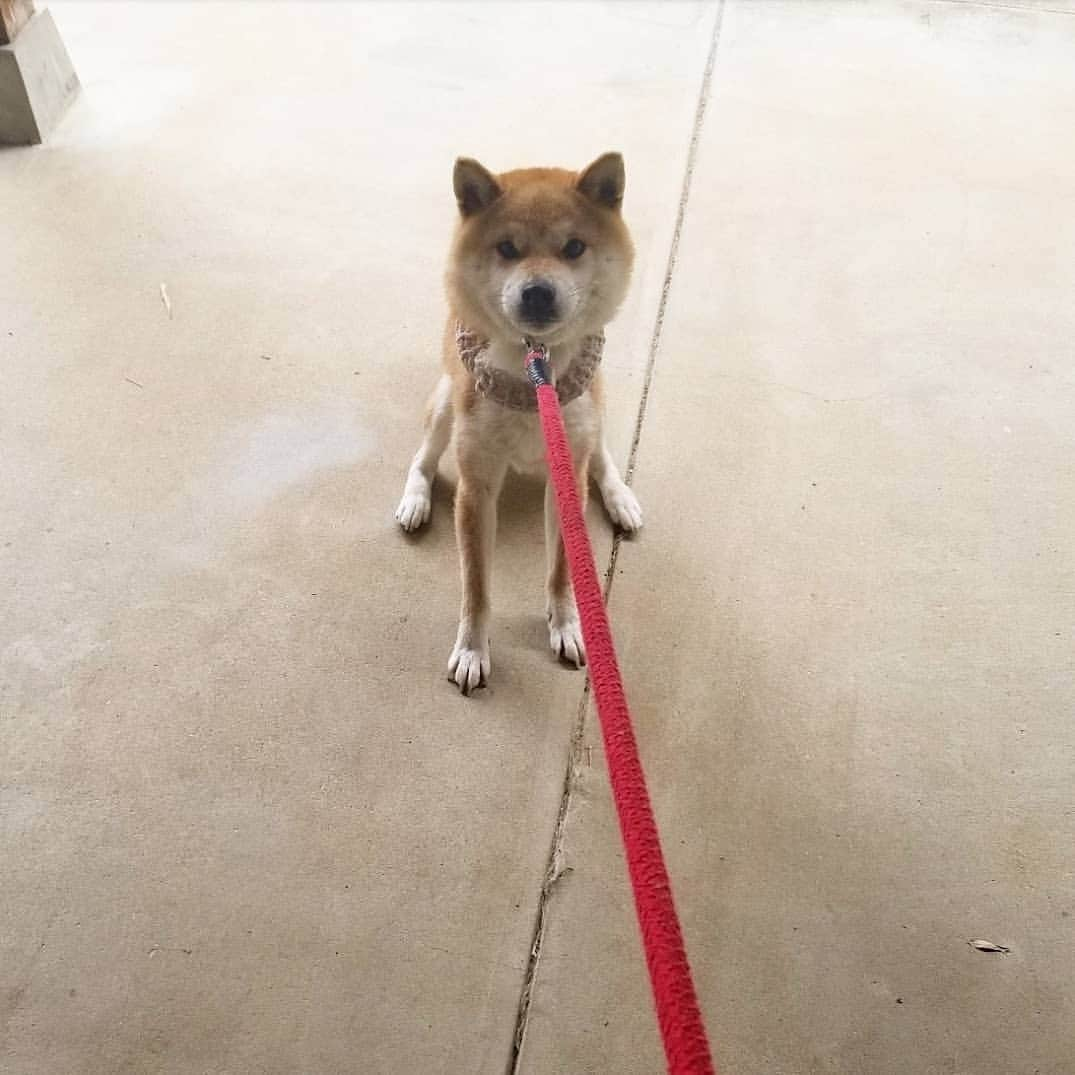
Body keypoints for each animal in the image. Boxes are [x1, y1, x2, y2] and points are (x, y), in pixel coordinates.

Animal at [399, 153, 640, 696]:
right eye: (507, 248)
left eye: (574, 247)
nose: (538, 293)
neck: (535, 373)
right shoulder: (477, 486)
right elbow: (476, 585)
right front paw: (472, 650)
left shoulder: (567, 477)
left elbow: (561, 570)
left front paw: (567, 625)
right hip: (446, 405)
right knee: (423, 458)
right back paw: (415, 499)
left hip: (594, 414)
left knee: (602, 456)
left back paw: (620, 497)